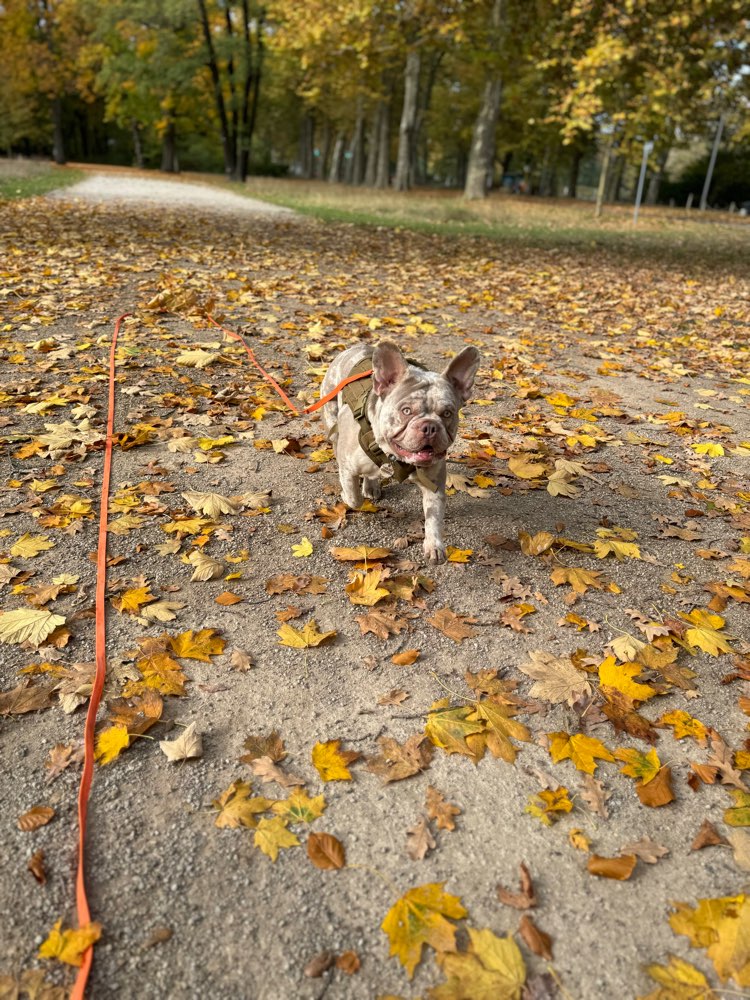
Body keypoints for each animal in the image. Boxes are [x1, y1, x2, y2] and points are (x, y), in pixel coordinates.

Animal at [322, 342, 482, 564]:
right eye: (406, 411)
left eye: (447, 413)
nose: (430, 426)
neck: (394, 457)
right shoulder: (347, 466)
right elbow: (354, 498)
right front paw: (346, 496)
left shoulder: (434, 483)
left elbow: (434, 517)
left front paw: (434, 545)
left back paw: (371, 486)